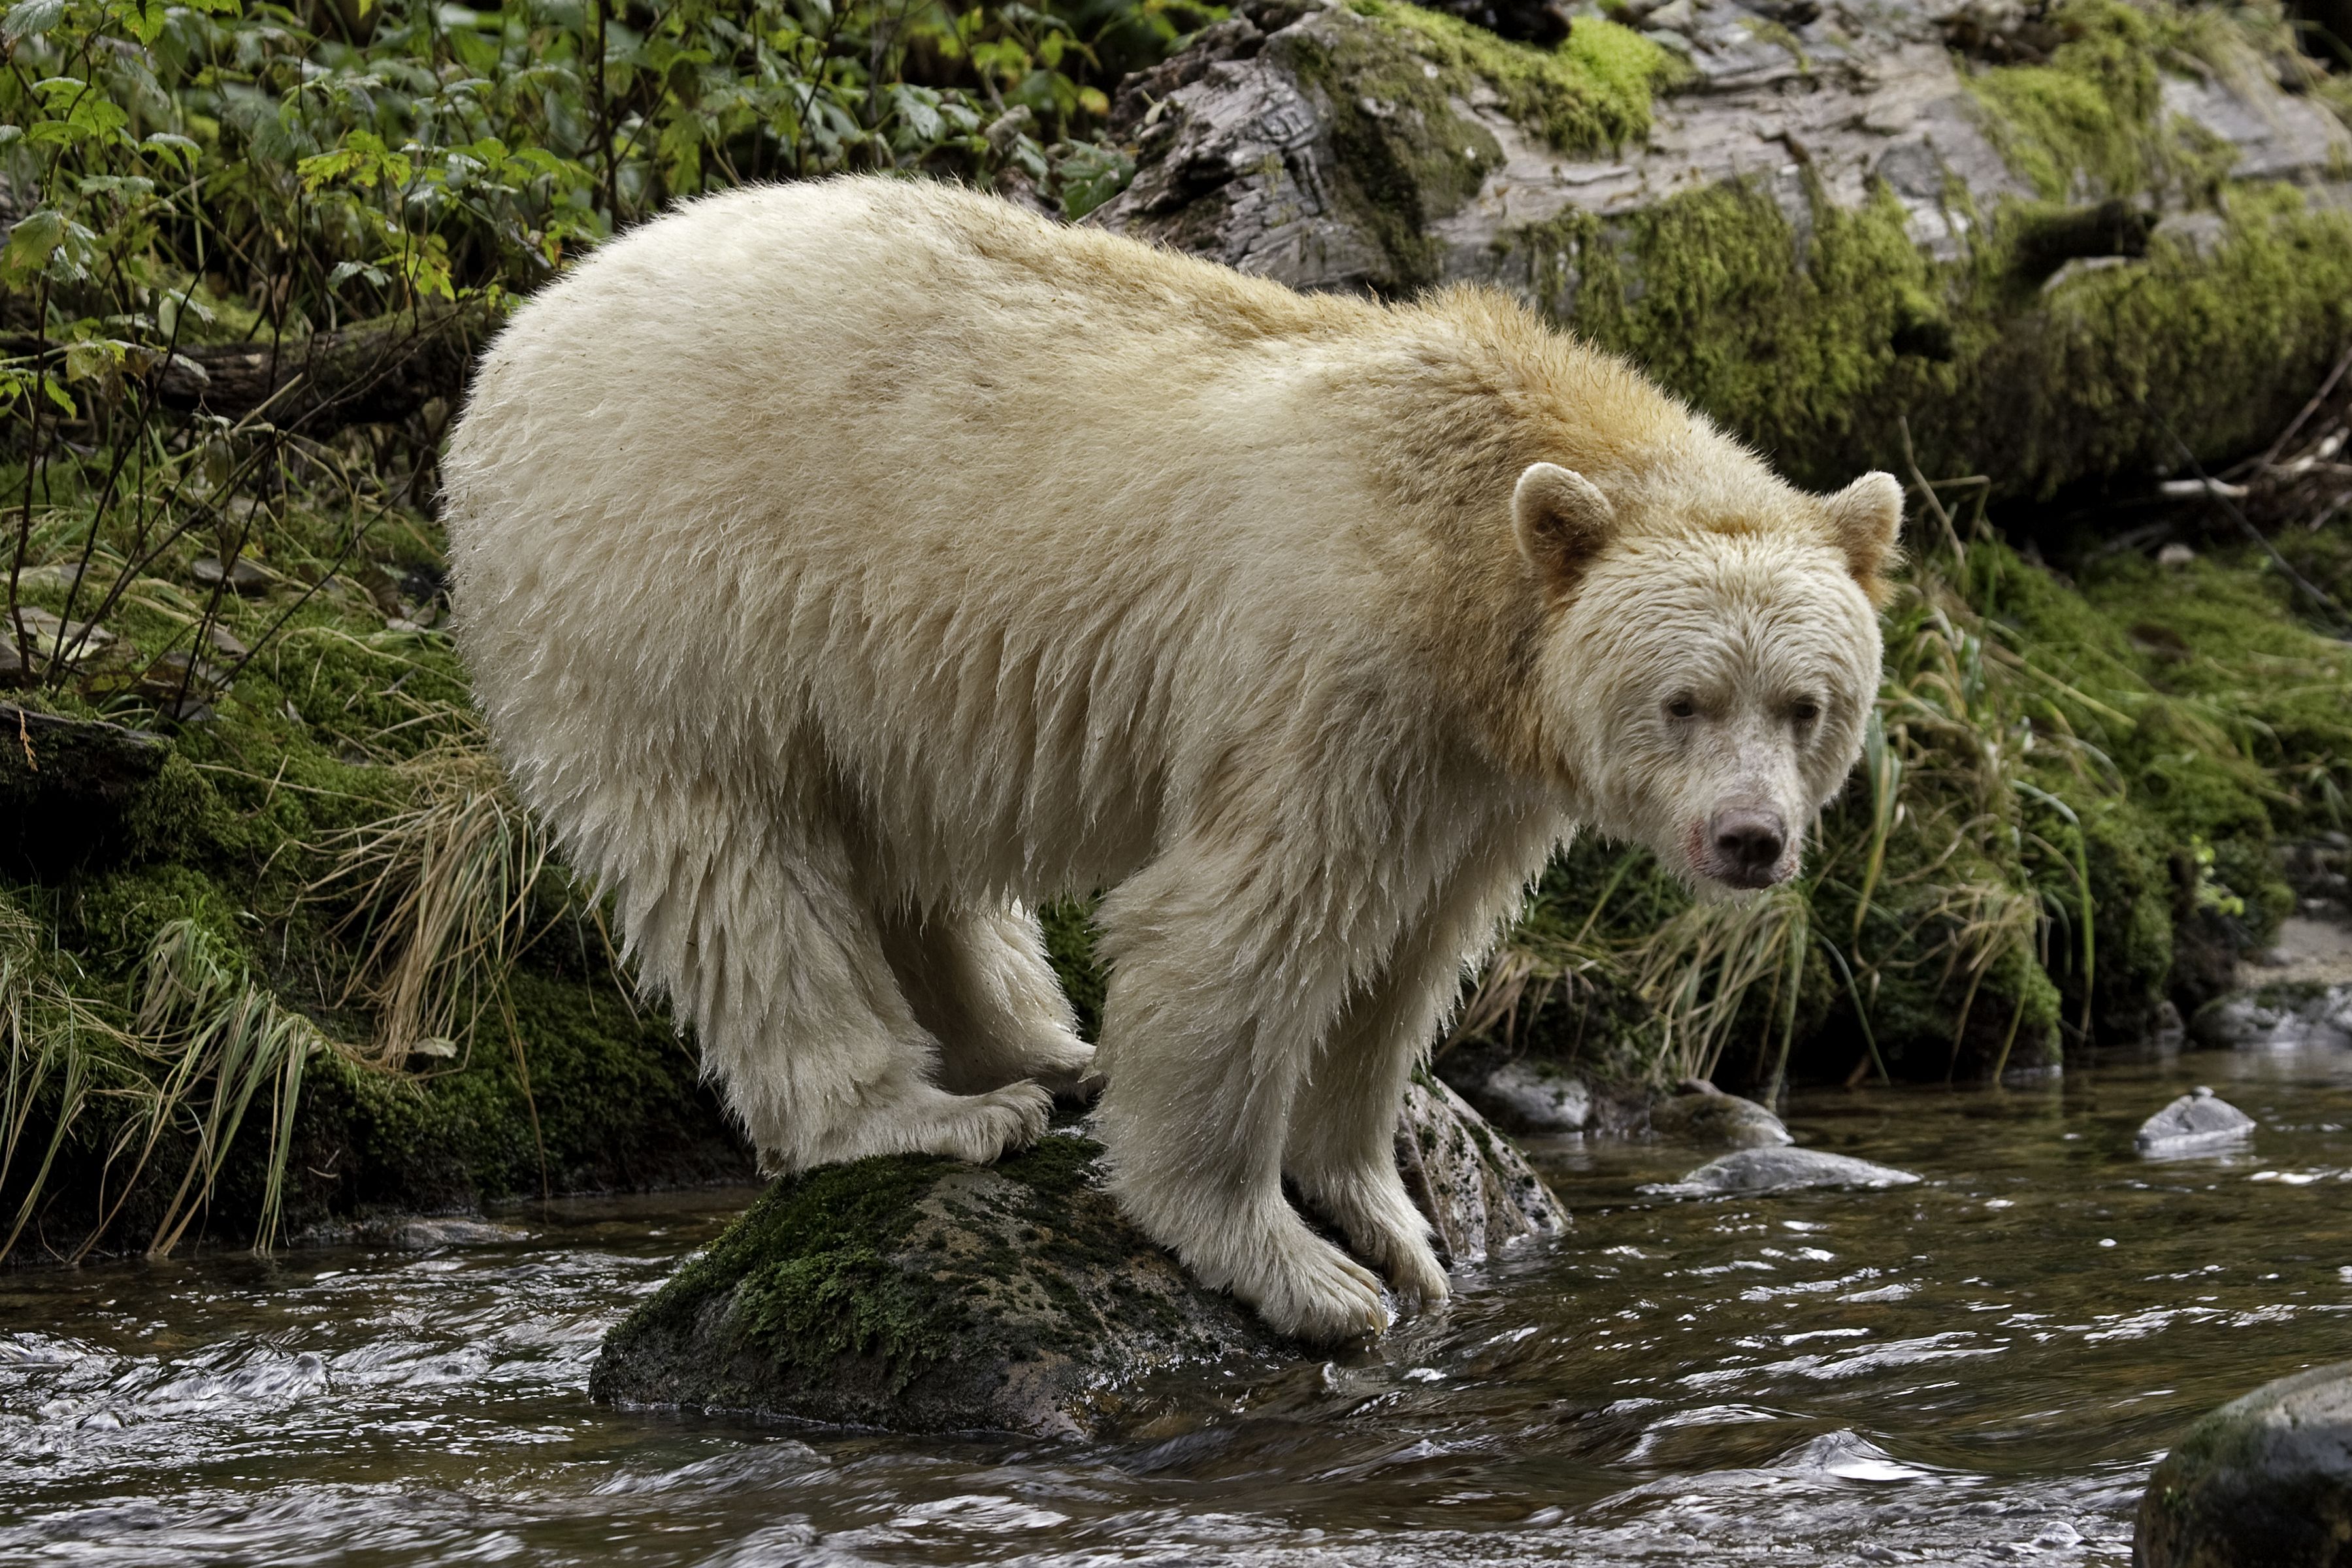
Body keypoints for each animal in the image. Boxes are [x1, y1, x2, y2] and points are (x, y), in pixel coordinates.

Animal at [441, 176, 1899, 1344]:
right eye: (1683, 702)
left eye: (1807, 705)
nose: (1751, 841)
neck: (1459, 554)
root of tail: (521, 332)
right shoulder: (1332, 672)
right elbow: (1244, 926)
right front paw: (1301, 1269)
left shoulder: (1473, 762)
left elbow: (1409, 955)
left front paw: (1392, 1222)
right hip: (678, 593)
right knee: (737, 865)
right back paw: (926, 1111)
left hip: (864, 666)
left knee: (901, 852)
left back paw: (1039, 1049)